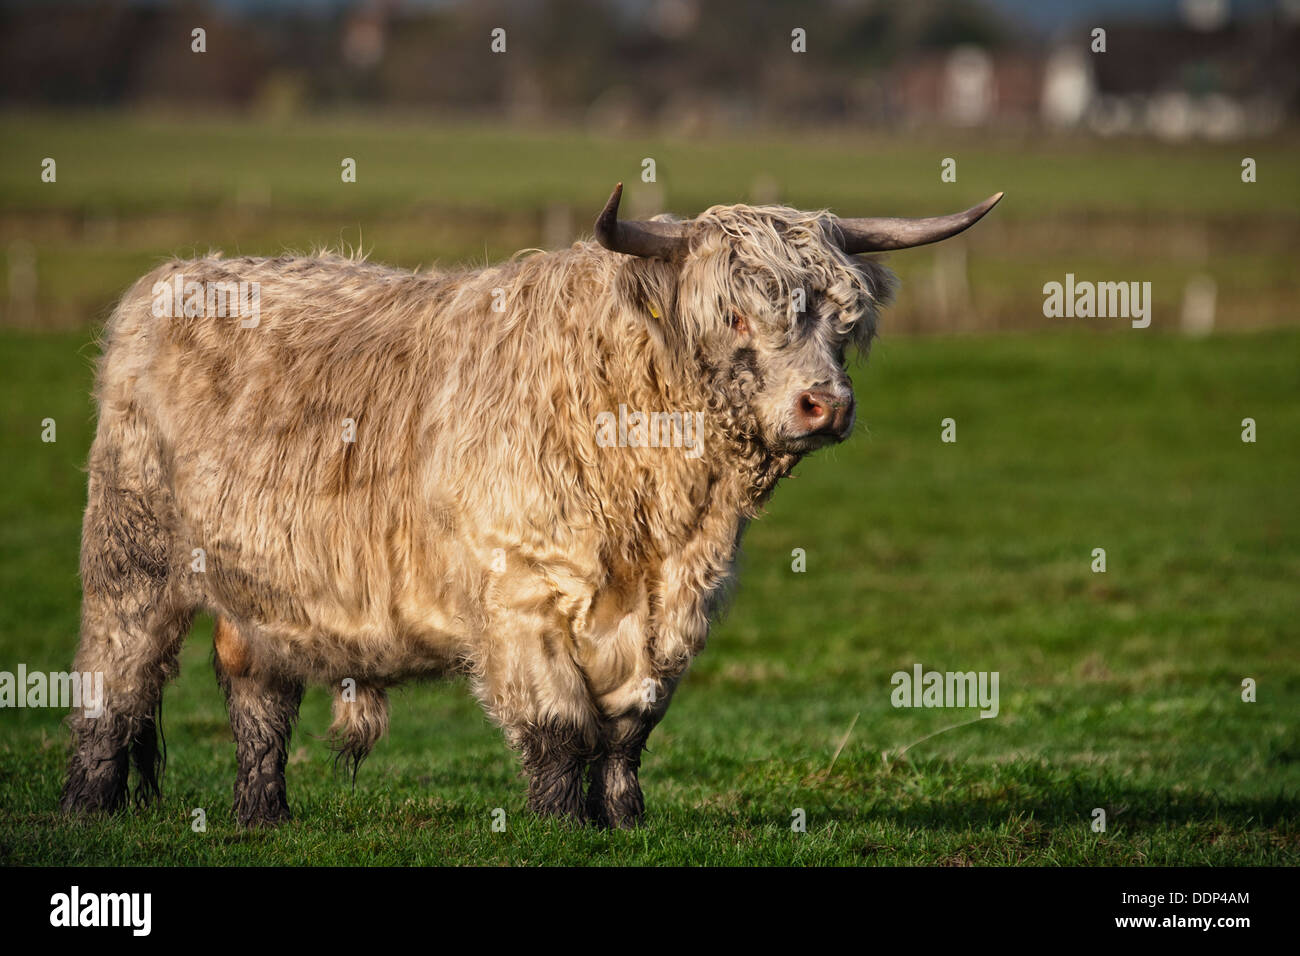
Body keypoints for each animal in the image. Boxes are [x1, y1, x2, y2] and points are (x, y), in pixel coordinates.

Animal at [61, 184, 1001, 827]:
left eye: (843, 321)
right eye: (734, 315)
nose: (825, 405)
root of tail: (173, 277)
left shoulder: (676, 610)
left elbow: (628, 728)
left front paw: (624, 819)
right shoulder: (523, 595)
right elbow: (558, 725)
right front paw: (561, 823)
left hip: (264, 586)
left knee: (256, 688)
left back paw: (264, 815)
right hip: (132, 555)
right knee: (116, 678)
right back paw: (86, 804)